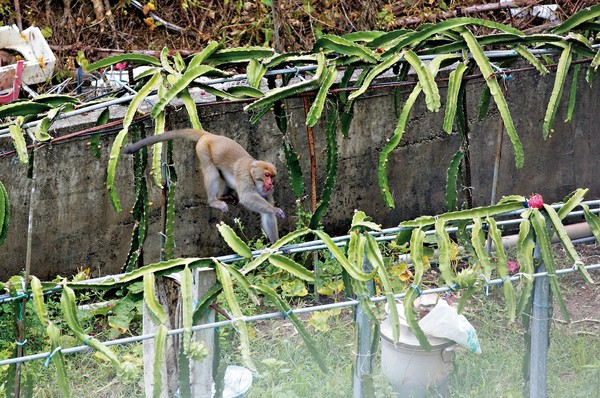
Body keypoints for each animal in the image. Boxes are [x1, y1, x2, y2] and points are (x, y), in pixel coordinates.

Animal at [123, 129, 284, 244]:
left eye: (272, 176)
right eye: (266, 175)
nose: (270, 184)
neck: (252, 171)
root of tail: (211, 136)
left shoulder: (267, 192)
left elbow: (266, 214)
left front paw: (276, 244)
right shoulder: (245, 176)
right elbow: (248, 197)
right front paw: (275, 210)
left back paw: (224, 196)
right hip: (202, 149)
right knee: (211, 172)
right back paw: (214, 201)